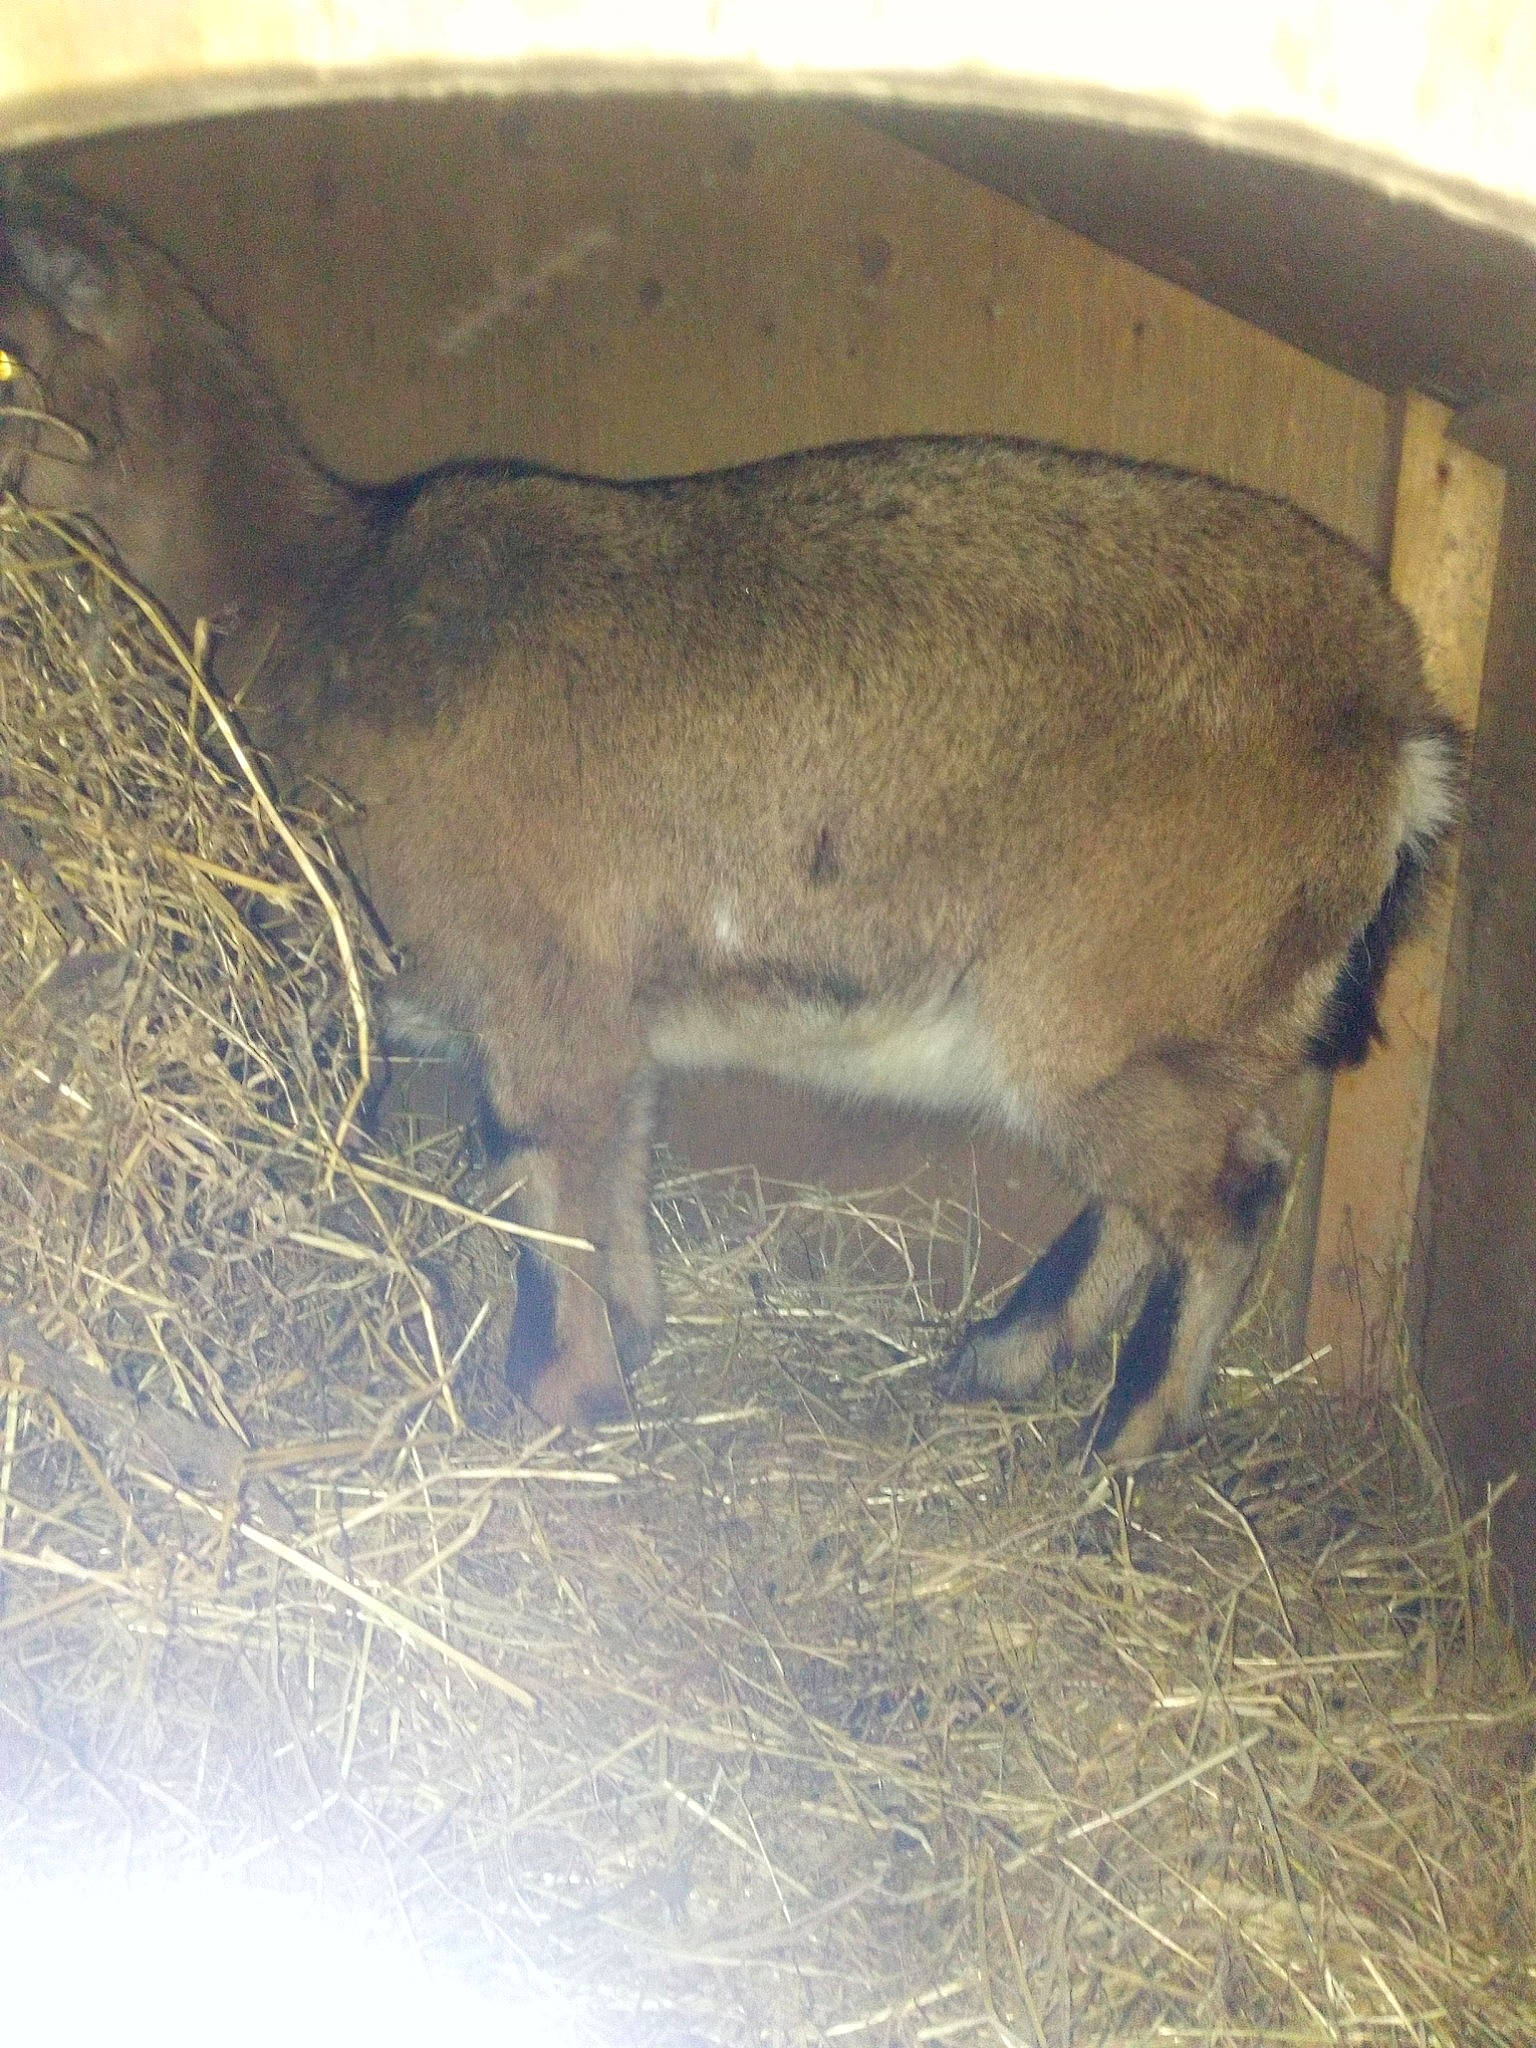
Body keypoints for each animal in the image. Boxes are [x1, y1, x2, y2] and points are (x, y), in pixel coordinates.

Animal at [0, 183, 1464, 1460]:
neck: (310, 597)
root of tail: (1394, 716)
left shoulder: (536, 976)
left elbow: (547, 1165)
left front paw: (563, 1392)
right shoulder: (608, 1001)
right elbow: (613, 1164)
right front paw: (632, 1339)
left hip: (1109, 1000)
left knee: (1228, 1195)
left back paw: (1130, 1436)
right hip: (1191, 1024)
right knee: (1178, 1178)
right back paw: (1004, 1358)